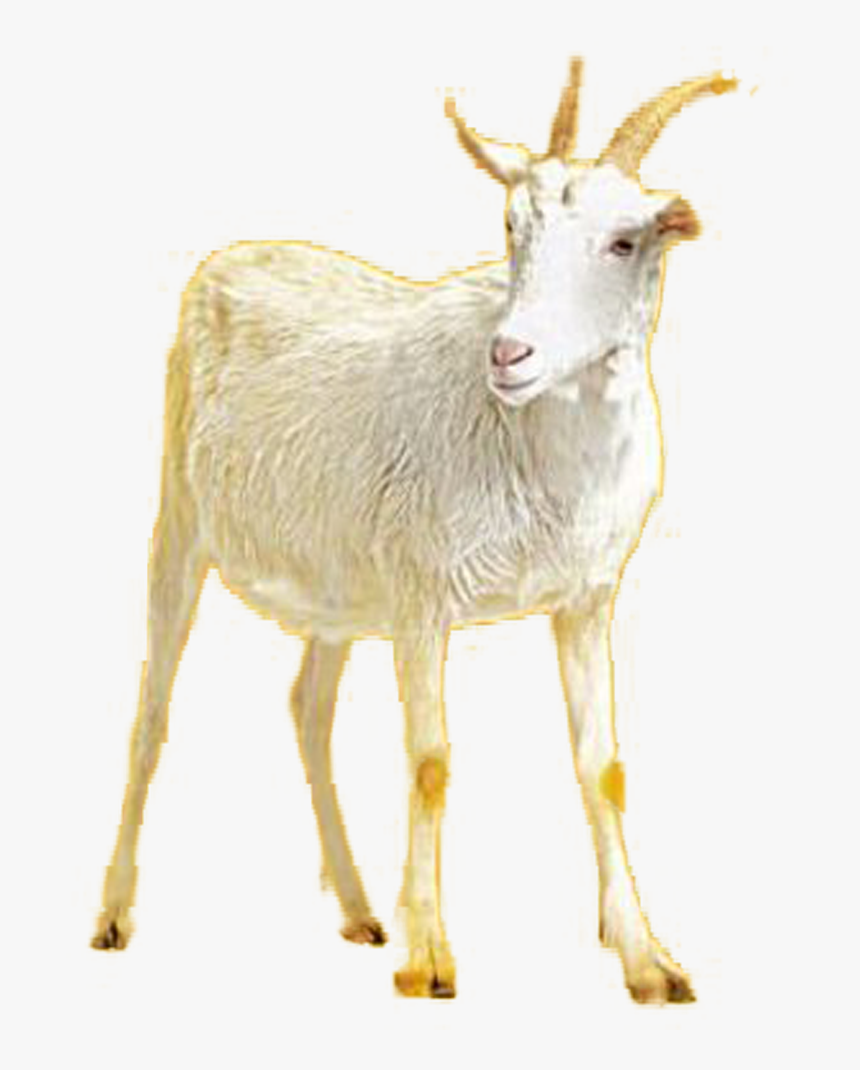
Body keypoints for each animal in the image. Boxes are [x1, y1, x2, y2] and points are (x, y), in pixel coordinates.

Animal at [92, 58, 736, 1002]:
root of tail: (233, 255)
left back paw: (362, 910)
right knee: (151, 710)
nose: (509, 356)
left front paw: (648, 961)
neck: (536, 450)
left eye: (625, 241)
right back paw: (113, 915)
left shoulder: (585, 599)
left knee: (307, 706)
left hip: (336, 588)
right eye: (512, 227)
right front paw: (430, 958)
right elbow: (430, 759)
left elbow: (602, 767)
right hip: (179, 521)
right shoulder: (423, 597)